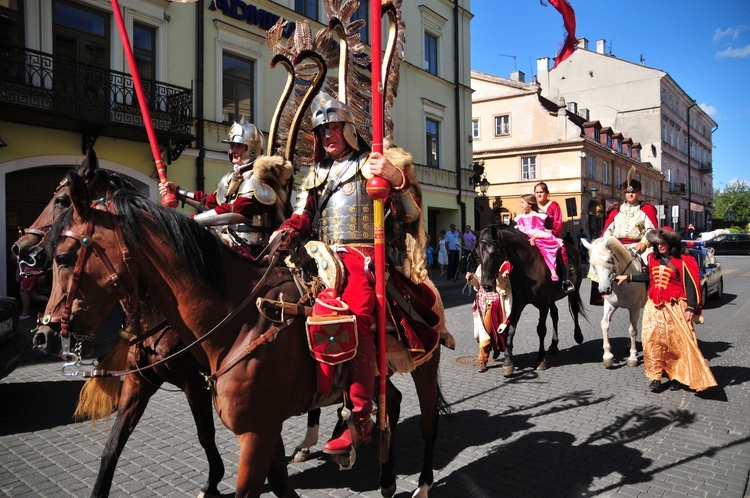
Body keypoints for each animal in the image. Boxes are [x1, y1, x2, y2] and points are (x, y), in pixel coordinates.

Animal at [12, 152, 226, 498]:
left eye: (61, 200)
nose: (19, 247)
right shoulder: (139, 382)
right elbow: (113, 445)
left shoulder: (195, 382)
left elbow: (205, 432)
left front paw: (213, 480)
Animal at [41, 172, 446, 498]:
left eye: (64, 256)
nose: (47, 331)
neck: (240, 321)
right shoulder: (153, 386)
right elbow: (113, 448)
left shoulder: (251, 431)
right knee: (392, 402)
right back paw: (379, 469)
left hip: (425, 365)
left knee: (428, 425)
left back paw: (419, 482)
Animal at [476, 224, 588, 376]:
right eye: (478, 253)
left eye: (492, 252)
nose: (486, 285)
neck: (528, 266)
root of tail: (574, 249)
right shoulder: (518, 303)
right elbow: (511, 329)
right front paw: (508, 363)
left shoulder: (543, 303)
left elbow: (541, 329)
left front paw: (540, 359)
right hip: (552, 299)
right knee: (555, 314)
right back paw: (554, 344)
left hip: (574, 290)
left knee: (575, 309)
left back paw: (578, 335)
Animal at [584, 235, 648, 368]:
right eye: (593, 265)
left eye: (610, 260)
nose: (604, 290)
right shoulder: (610, 305)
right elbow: (605, 324)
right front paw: (607, 356)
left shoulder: (634, 307)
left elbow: (632, 330)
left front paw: (632, 357)